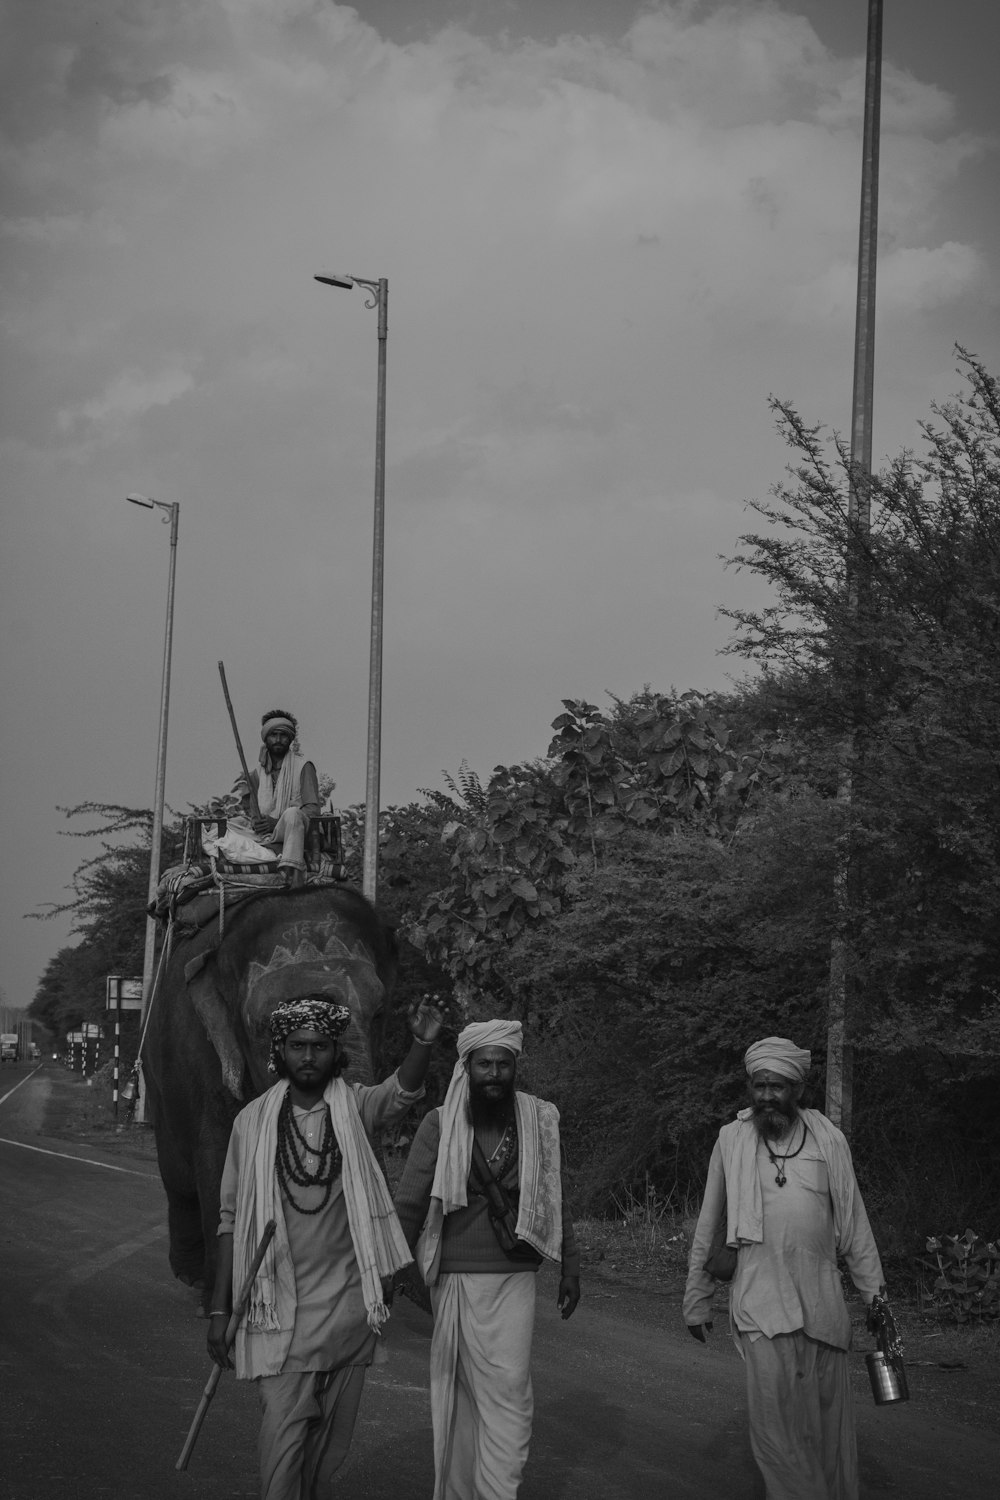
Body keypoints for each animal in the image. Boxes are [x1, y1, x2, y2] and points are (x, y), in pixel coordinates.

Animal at [141, 882, 398, 1296]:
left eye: (378, 1014)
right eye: (273, 1025)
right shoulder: (205, 1053)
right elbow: (221, 1159)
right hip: (158, 1078)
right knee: (177, 1176)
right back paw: (190, 1275)